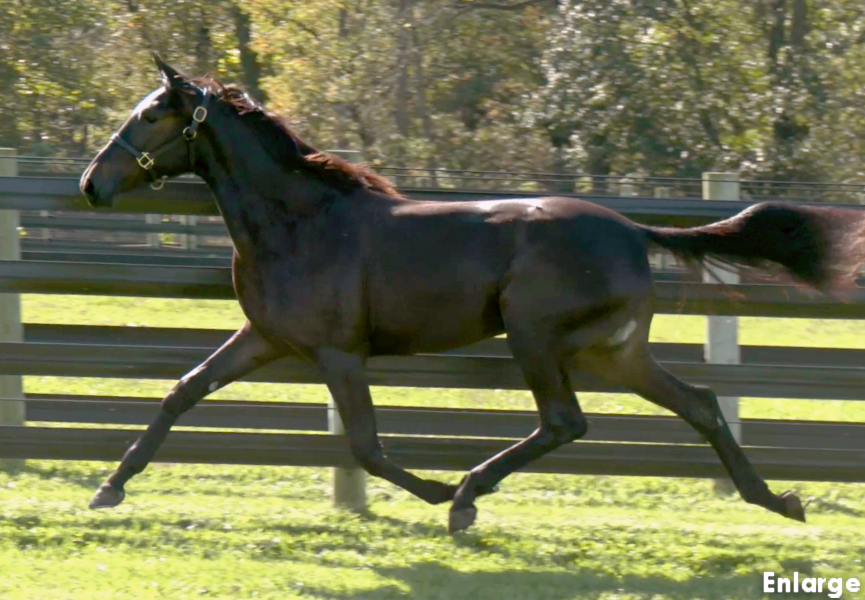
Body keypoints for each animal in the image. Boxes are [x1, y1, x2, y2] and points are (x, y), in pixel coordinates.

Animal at [81, 54, 864, 532]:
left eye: (151, 115)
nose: (92, 183)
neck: (299, 221)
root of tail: (630, 230)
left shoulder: (338, 353)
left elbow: (366, 446)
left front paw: (432, 492)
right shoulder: (266, 338)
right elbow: (182, 391)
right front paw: (108, 487)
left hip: (535, 335)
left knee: (565, 422)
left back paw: (463, 496)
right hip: (613, 353)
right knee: (698, 404)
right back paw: (778, 500)